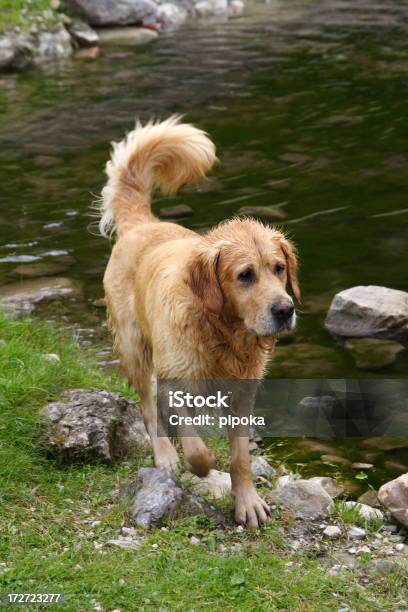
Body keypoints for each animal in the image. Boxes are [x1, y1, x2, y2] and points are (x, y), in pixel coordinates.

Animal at [99, 117, 300, 528]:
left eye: (279, 268)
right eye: (244, 275)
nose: (285, 310)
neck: (223, 332)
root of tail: (142, 223)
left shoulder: (243, 394)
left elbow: (240, 457)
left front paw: (247, 502)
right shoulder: (176, 379)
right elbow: (194, 443)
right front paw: (200, 465)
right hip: (133, 347)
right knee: (148, 407)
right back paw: (164, 455)